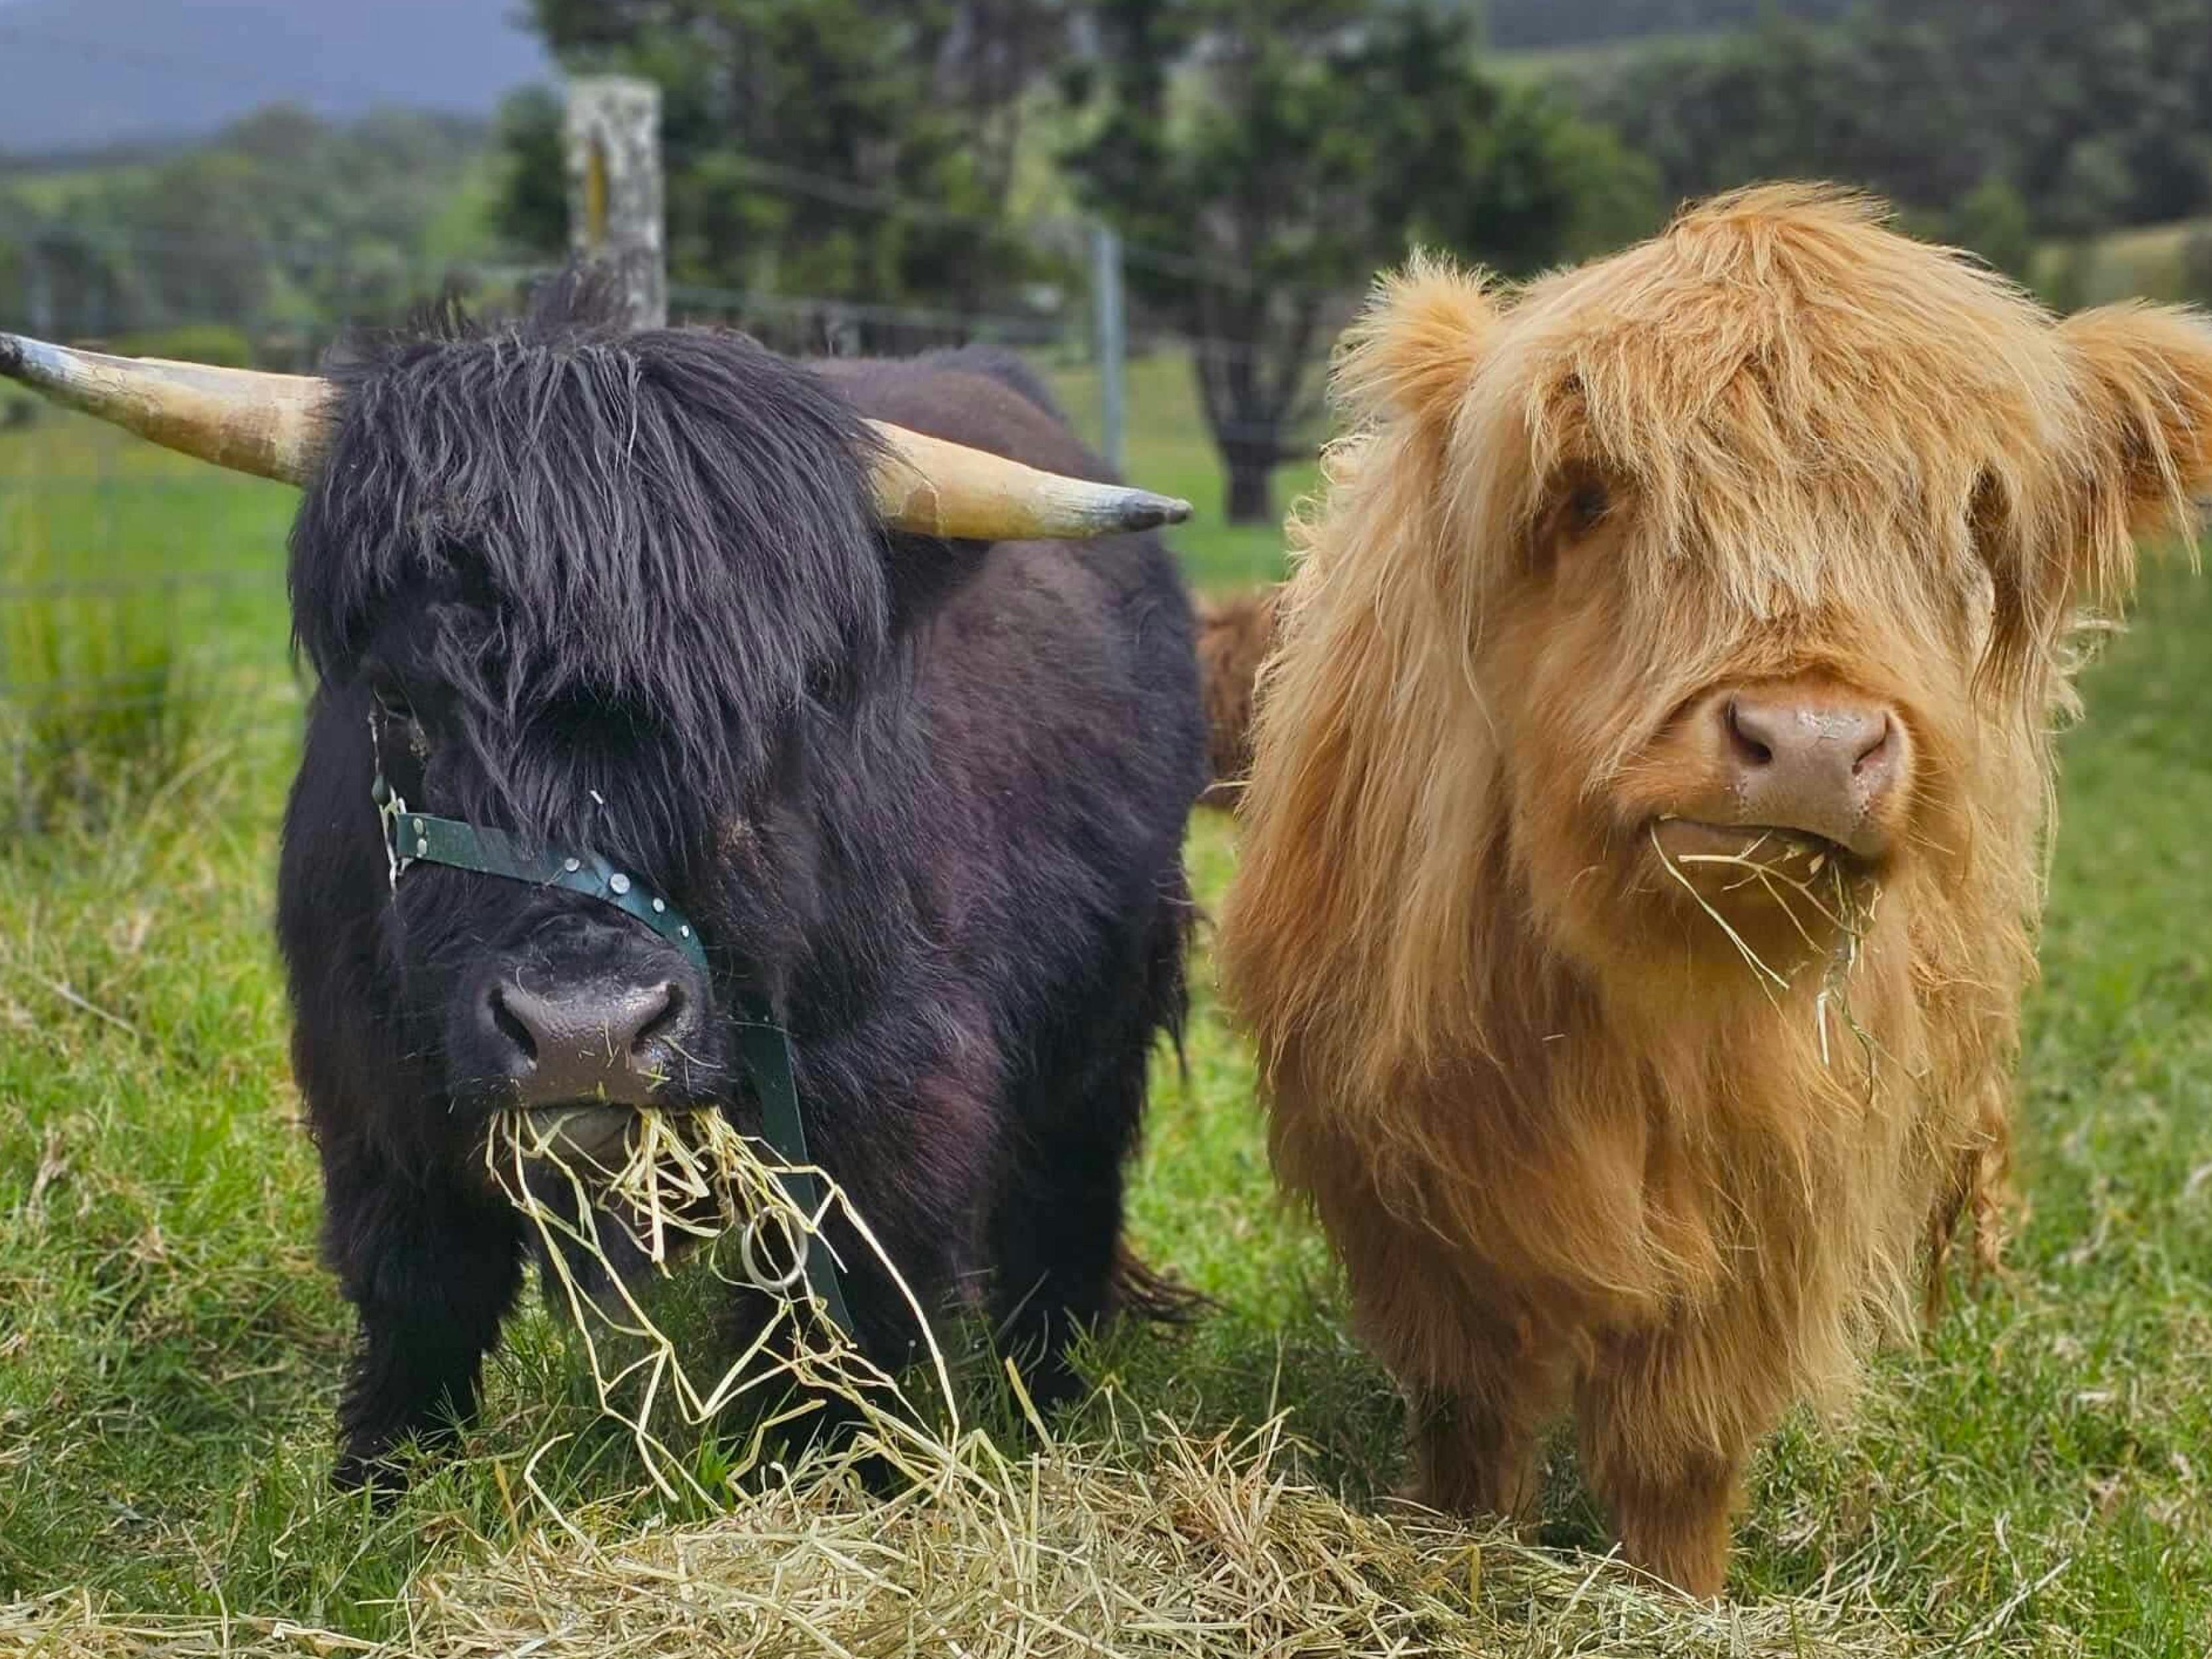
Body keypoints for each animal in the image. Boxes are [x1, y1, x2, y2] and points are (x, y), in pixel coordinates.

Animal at [1, 281, 1209, 1491]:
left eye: (780, 702)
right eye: (398, 702)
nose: (584, 1033)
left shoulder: (885, 1085)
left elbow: (831, 1310)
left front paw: (816, 1473)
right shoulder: (370, 1083)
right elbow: (418, 1290)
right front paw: (381, 1478)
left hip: (1109, 1004)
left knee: (1063, 1189)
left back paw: (1046, 1381)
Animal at [1217, 187, 2212, 1595]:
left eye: (1972, 514)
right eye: (1586, 492)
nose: (1808, 741)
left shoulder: (1780, 1188)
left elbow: (1679, 1442)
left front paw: (1675, 1595)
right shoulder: (1411, 1167)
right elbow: (1471, 1400)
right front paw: (1457, 1547)